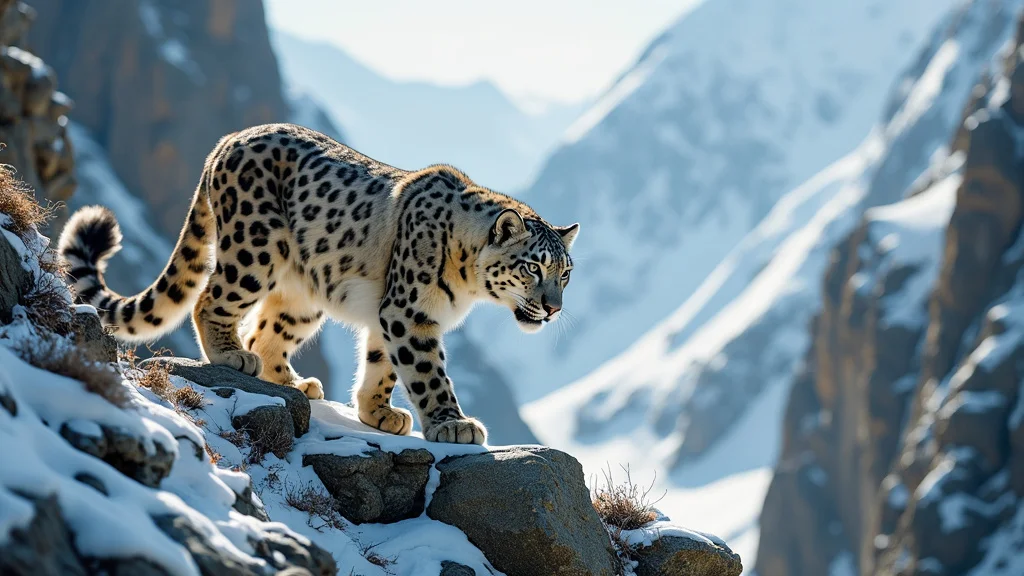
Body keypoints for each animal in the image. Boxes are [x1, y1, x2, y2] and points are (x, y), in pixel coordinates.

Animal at [58, 123, 578, 445]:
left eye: (566, 273)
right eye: (533, 268)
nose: (553, 308)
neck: (466, 284)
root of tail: (227, 140)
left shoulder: (390, 314)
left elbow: (382, 364)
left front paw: (378, 412)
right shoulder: (409, 311)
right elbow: (427, 371)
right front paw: (453, 424)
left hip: (302, 294)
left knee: (267, 331)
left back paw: (294, 381)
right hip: (254, 248)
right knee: (211, 298)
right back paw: (230, 354)